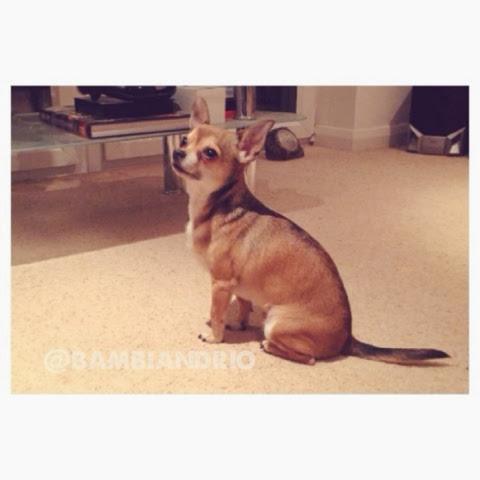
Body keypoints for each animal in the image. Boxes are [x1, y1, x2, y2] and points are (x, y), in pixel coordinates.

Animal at [171, 97, 450, 365]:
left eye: (209, 153)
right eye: (185, 140)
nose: (176, 151)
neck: (216, 204)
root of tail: (347, 339)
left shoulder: (220, 284)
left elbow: (216, 312)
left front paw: (214, 336)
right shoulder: (237, 287)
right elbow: (242, 303)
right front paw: (239, 324)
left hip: (275, 322)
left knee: (309, 359)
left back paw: (268, 346)